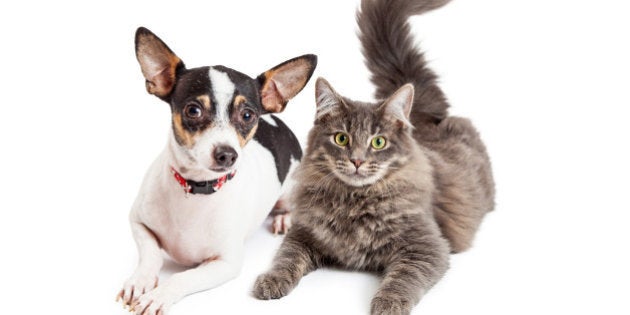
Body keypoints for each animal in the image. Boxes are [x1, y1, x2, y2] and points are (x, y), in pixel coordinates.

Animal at [116, 27, 318, 315]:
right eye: (193, 110)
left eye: (247, 115)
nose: (227, 154)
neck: (197, 187)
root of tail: (275, 119)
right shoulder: (138, 222)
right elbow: (151, 254)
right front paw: (141, 280)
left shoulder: (225, 264)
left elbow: (183, 277)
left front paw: (159, 294)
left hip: (290, 188)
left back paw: (283, 218)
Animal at [254, 1, 496, 314]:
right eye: (341, 138)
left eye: (378, 142)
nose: (357, 161)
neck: (355, 203)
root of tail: (421, 119)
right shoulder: (304, 233)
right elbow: (286, 258)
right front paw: (271, 280)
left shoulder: (426, 247)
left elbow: (403, 278)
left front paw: (388, 303)